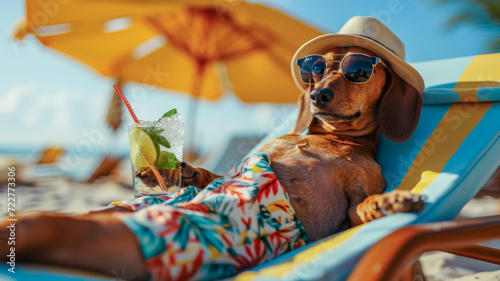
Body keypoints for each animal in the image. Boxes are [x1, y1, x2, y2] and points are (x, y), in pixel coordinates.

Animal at [0, 46, 424, 278]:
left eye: (358, 72)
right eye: (316, 68)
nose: (318, 94)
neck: (332, 136)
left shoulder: (357, 198)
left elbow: (361, 208)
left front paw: (387, 203)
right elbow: (214, 172)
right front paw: (178, 170)